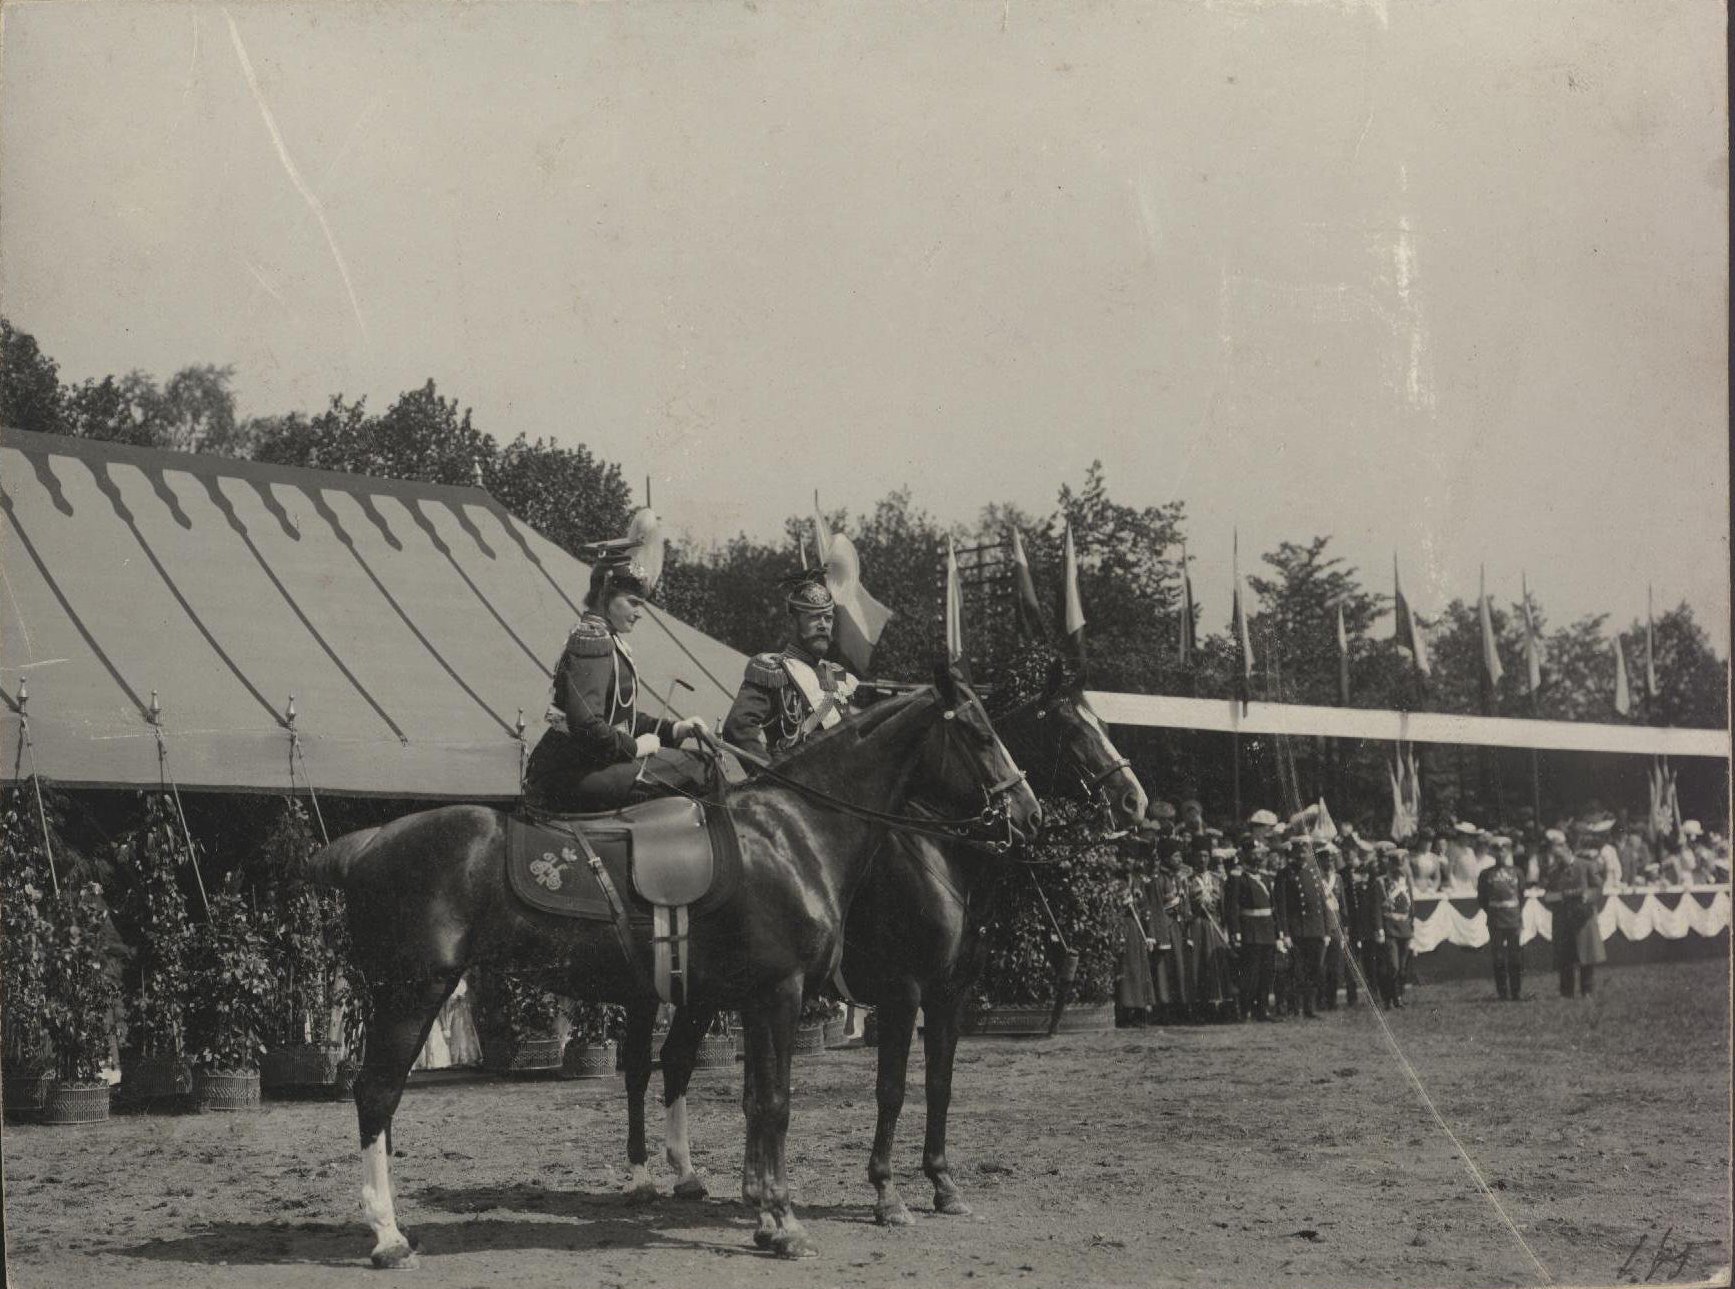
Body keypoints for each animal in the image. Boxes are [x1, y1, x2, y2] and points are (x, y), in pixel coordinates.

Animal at [310, 669, 1034, 1262]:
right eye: (978, 732)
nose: (1027, 812)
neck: (793, 833)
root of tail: (363, 842)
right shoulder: (812, 994)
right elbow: (794, 1101)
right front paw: (793, 1217)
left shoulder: (782, 998)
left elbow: (769, 1098)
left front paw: (769, 1209)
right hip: (413, 992)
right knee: (376, 1093)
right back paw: (387, 1235)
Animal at [628, 659, 1152, 1228]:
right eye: (1070, 728)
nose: (1134, 801)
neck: (943, 856)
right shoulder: (903, 993)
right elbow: (892, 1090)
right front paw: (886, 1192)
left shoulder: (949, 995)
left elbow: (940, 1085)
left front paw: (943, 1183)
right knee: (650, 1063)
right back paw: (649, 1176)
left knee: (693, 1065)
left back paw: (714, 1181)